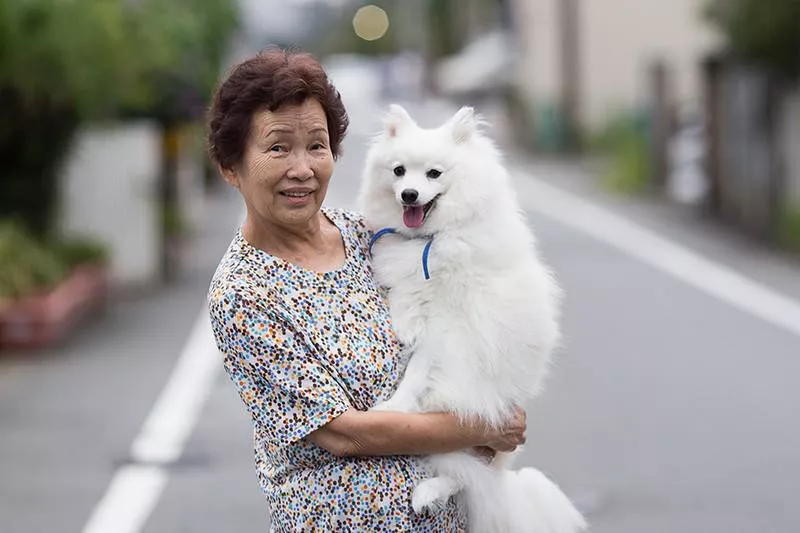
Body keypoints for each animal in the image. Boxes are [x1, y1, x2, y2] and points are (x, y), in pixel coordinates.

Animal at [360, 105, 584, 532]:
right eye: (399, 171)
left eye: (434, 174)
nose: (409, 194)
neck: (432, 237)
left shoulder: (445, 326)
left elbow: (415, 375)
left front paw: (393, 408)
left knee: (463, 473)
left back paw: (427, 493)